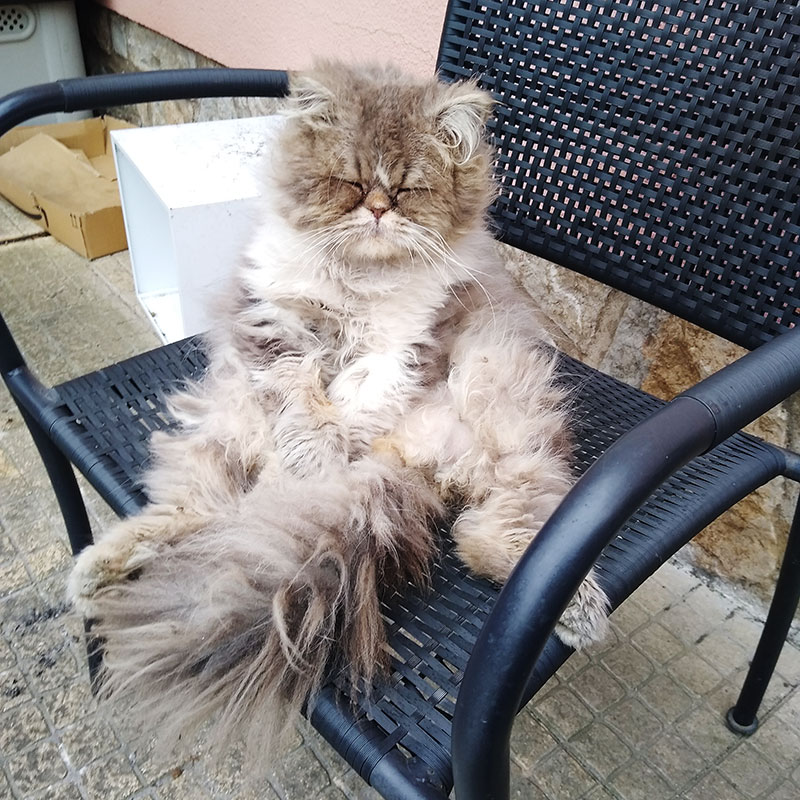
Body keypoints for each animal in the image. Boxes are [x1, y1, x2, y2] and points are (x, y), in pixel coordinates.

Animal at [67, 61, 608, 764]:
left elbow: (351, 404)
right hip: (222, 428)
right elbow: (302, 399)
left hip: (509, 413)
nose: (377, 210)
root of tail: (415, 467)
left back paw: (582, 610)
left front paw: (319, 456)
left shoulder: (399, 351)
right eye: (350, 182)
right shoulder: (272, 327)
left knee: (503, 531)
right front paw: (310, 451)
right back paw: (97, 570)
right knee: (198, 513)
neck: (360, 283)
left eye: (407, 190)